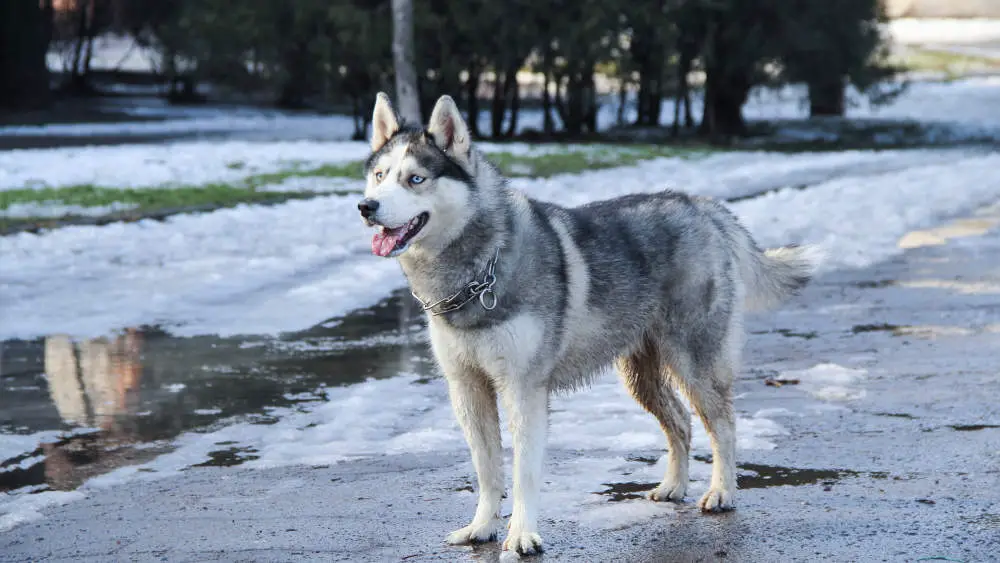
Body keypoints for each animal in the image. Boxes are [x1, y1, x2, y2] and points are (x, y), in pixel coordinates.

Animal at [356, 92, 816, 556]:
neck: (478, 272)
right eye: (379, 176)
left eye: (416, 179)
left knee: (722, 425)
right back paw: (673, 486)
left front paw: (522, 535)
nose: (366, 207)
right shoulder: (467, 389)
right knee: (681, 423)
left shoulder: (524, 390)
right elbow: (487, 469)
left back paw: (722, 492)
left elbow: (523, 473)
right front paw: (482, 527)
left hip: (696, 364)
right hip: (641, 377)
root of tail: (703, 207)